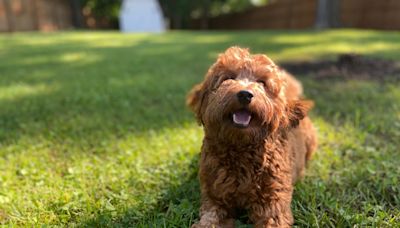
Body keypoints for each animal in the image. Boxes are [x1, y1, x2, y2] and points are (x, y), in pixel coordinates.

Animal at [188, 47, 318, 227]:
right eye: (228, 78)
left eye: (262, 82)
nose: (244, 94)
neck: (241, 149)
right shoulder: (214, 199)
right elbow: (209, 219)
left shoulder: (272, 203)